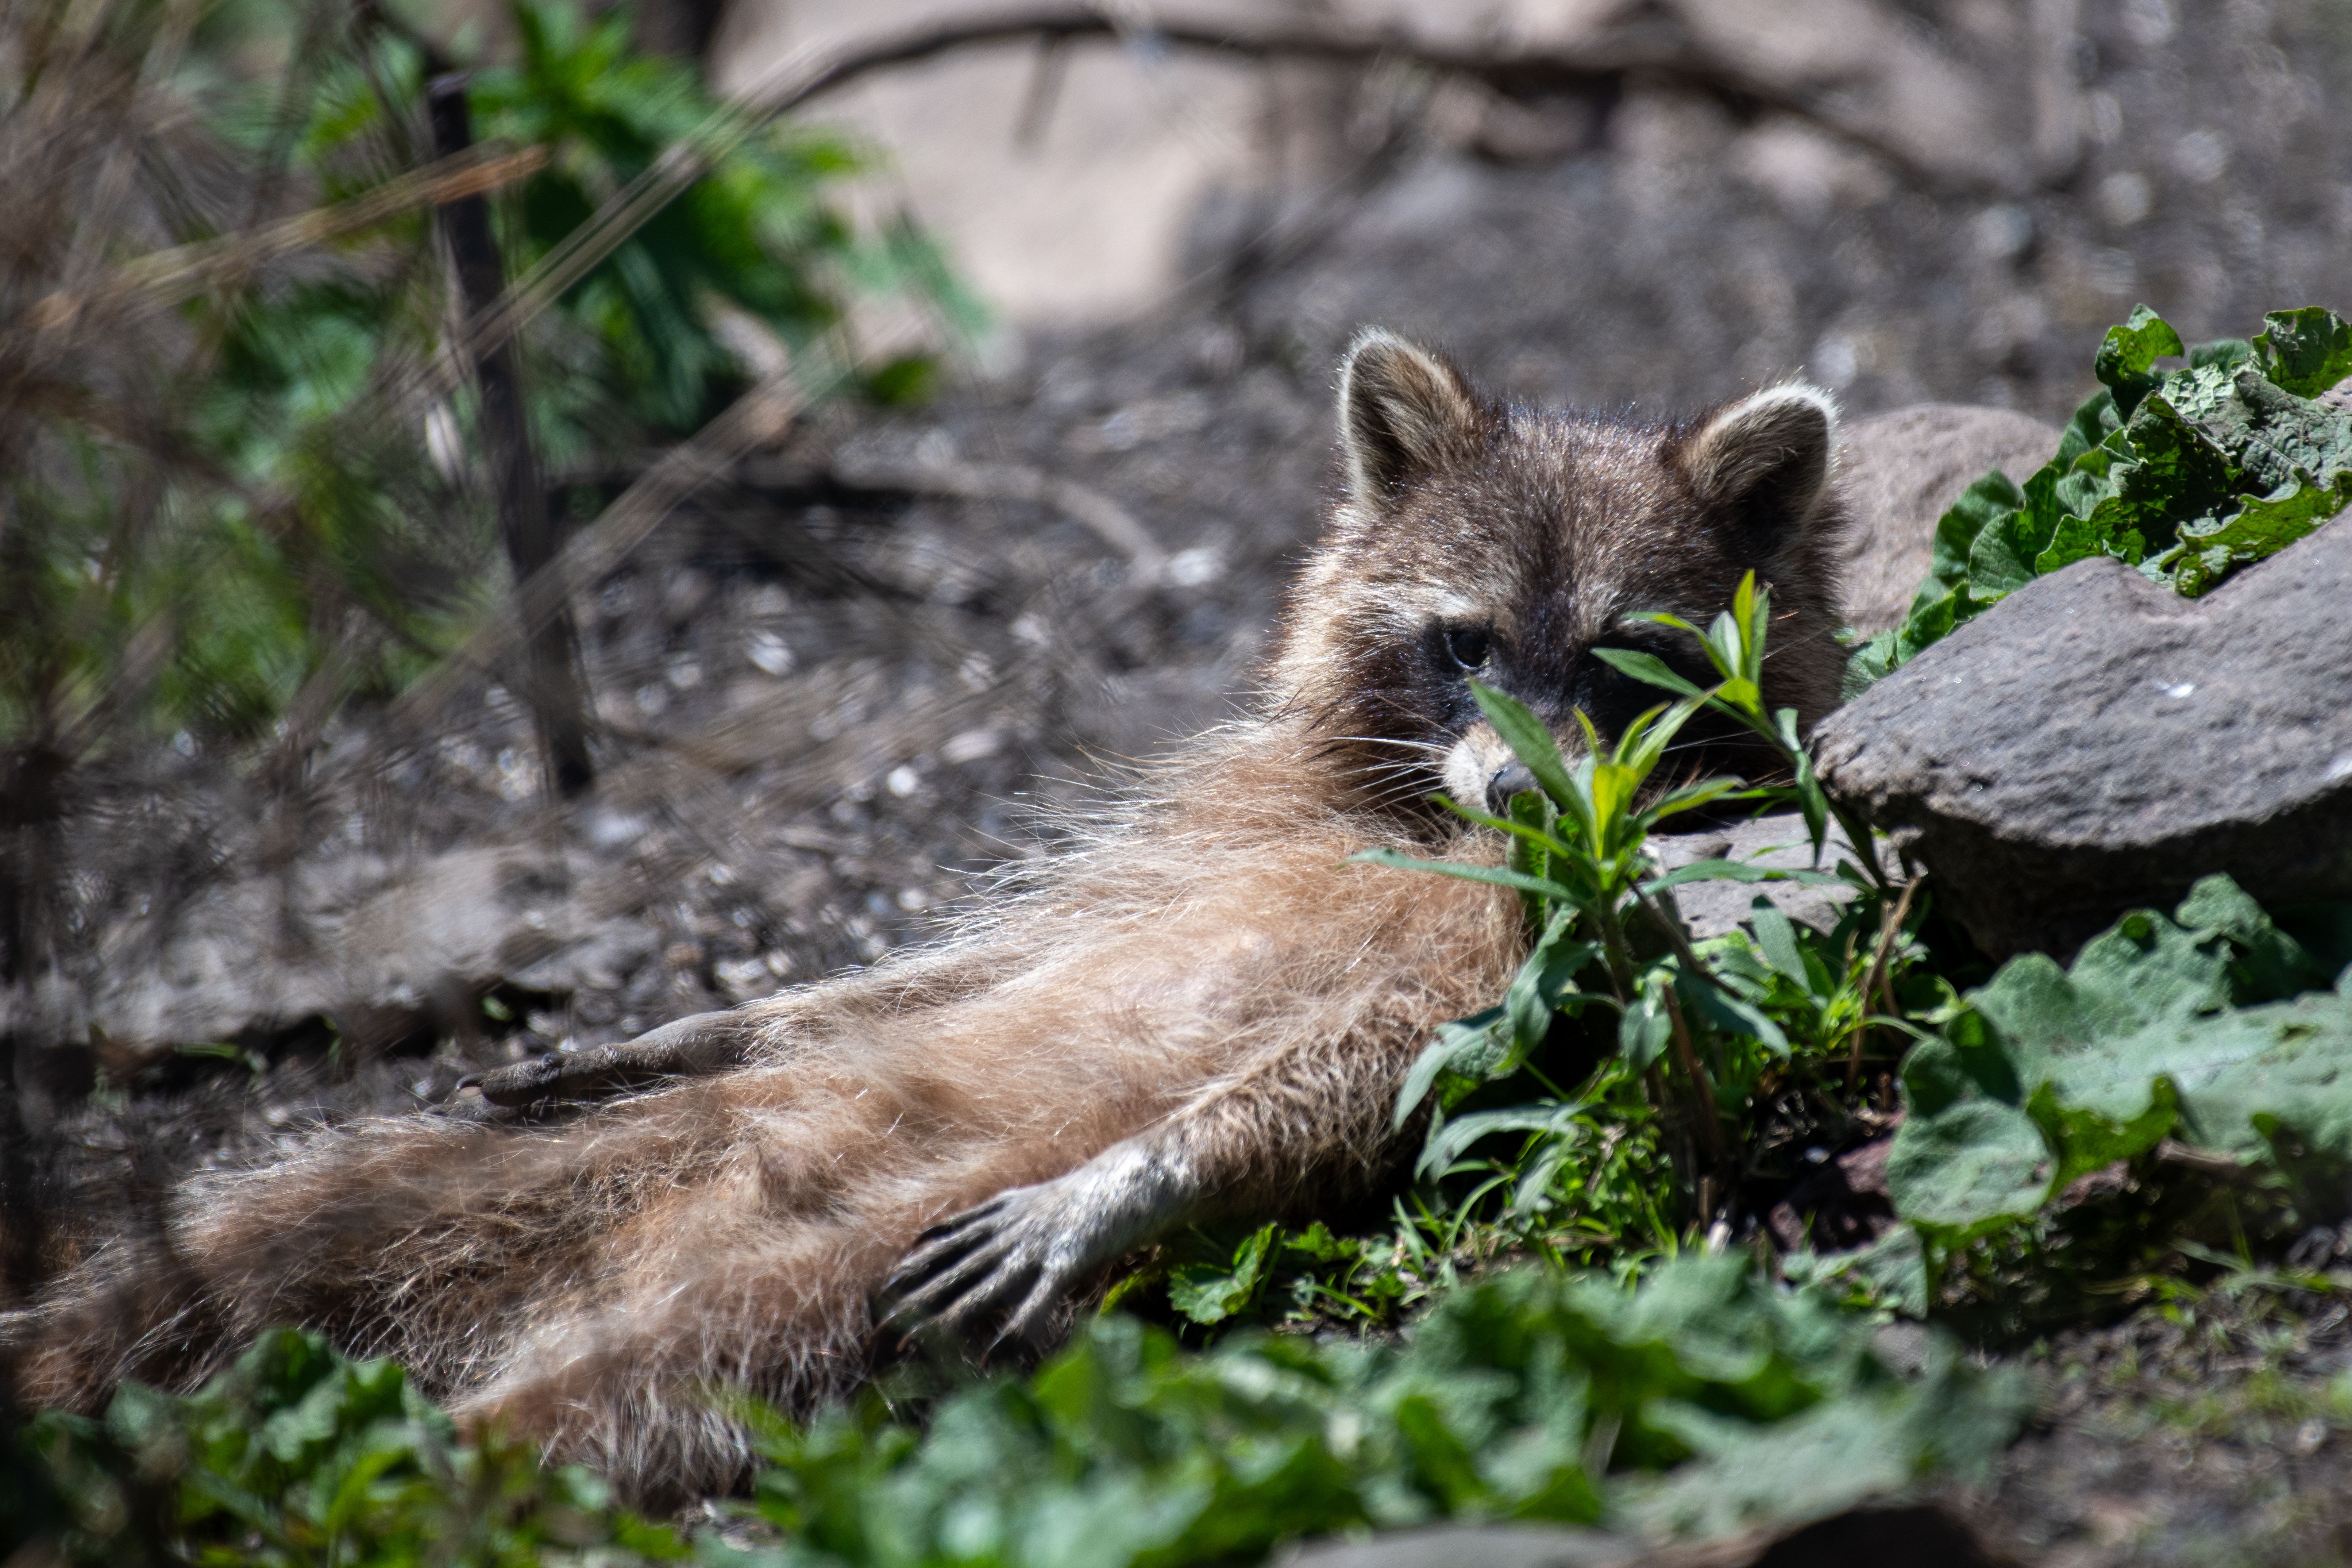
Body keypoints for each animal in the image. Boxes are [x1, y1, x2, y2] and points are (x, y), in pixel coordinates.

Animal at [11, 331, 1869, 1504]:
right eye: (1465, 643)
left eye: (1622, 661)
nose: (1517, 793)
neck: (1429, 822)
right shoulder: (1209, 829)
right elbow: (982, 957)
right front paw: (716, 1007)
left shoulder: (1567, 936)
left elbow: (1375, 1067)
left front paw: (1137, 1176)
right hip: (593, 1166)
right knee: (276, 1229)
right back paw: (62, 1352)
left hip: (821, 1281)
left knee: (597, 1385)